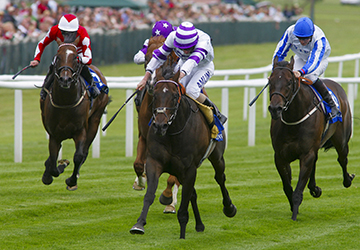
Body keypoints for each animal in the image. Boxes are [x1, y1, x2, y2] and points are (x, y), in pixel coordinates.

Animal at [40, 37, 108, 189]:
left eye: (76, 58)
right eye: (58, 57)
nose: (65, 79)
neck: (66, 102)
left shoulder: (80, 130)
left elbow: (78, 156)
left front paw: (71, 181)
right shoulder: (54, 134)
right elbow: (53, 161)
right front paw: (52, 171)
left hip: (95, 121)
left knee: (85, 152)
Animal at [129, 67, 236, 239]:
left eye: (174, 96)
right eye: (155, 95)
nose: (160, 125)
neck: (173, 132)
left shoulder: (189, 168)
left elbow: (184, 203)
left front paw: (182, 235)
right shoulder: (155, 162)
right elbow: (150, 194)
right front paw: (138, 225)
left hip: (217, 157)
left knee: (220, 178)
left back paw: (229, 208)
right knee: (192, 193)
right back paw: (199, 225)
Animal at [268, 56, 354, 221]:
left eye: (289, 81)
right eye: (270, 80)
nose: (275, 109)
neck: (294, 118)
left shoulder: (306, 154)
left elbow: (297, 191)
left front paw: (294, 216)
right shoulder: (280, 157)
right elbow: (287, 187)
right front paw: (294, 207)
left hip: (341, 140)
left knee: (342, 159)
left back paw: (347, 180)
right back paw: (314, 188)